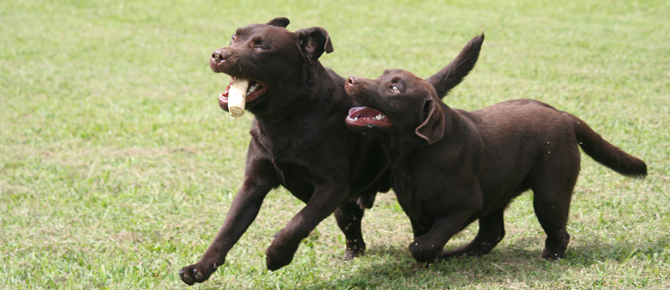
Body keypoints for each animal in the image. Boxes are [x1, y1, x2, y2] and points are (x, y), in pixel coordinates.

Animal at [178, 17, 484, 284]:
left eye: (261, 47)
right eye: (234, 37)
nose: (218, 55)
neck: (288, 118)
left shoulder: (331, 187)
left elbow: (298, 222)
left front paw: (277, 256)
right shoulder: (254, 183)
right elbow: (227, 230)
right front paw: (199, 268)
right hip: (344, 209)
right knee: (355, 235)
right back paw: (351, 254)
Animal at [344, 33, 648, 262]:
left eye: (395, 89)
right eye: (382, 75)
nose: (350, 79)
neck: (413, 157)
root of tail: (563, 114)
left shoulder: (463, 206)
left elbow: (423, 245)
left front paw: (424, 254)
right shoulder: (415, 208)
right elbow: (426, 239)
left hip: (549, 193)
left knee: (557, 230)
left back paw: (551, 255)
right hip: (499, 188)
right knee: (491, 235)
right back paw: (458, 255)